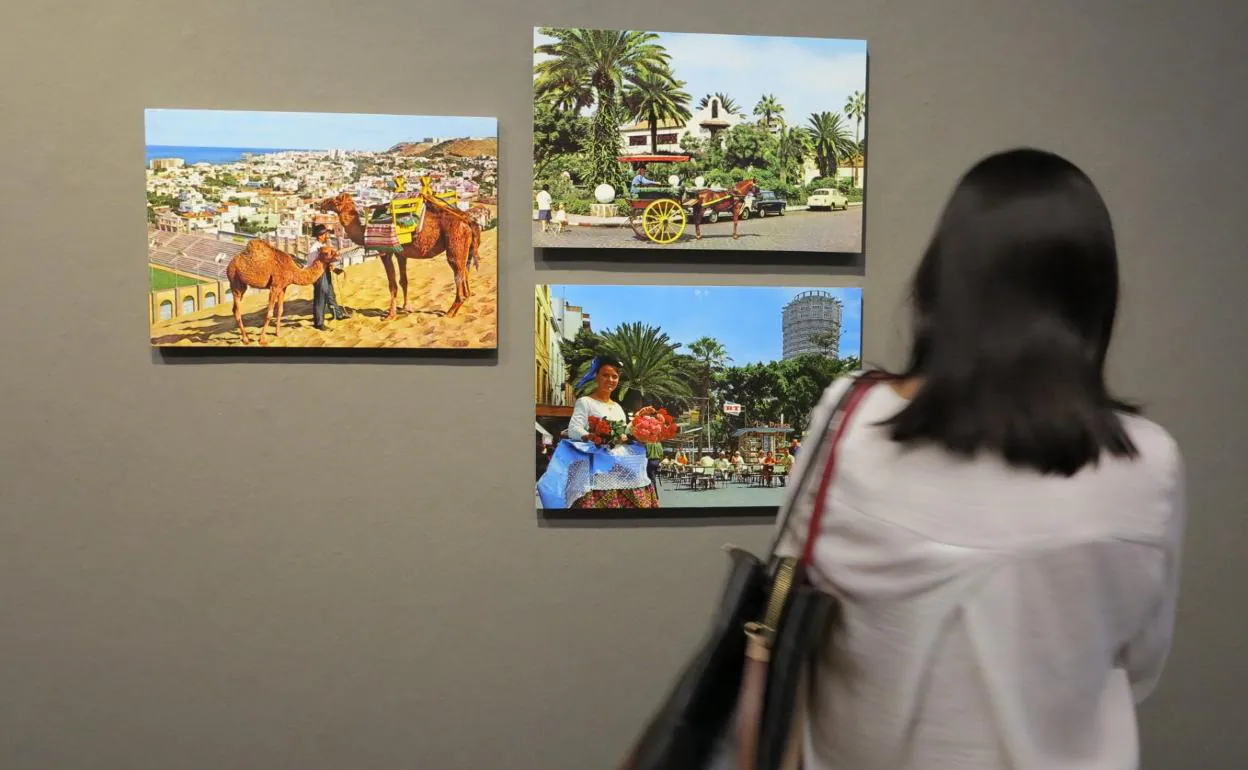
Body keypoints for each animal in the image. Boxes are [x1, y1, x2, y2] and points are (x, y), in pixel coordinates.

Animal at [316, 190, 481, 319]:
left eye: (335, 200)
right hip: (467, 248)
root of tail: (468, 220)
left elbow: (392, 284)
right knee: (465, 268)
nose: (321, 204)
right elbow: (404, 281)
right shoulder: (401, 254)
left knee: (457, 271)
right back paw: (467, 297)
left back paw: (451, 311)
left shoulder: (385, 252)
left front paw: (390, 314)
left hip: (455, 242)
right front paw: (406, 307)